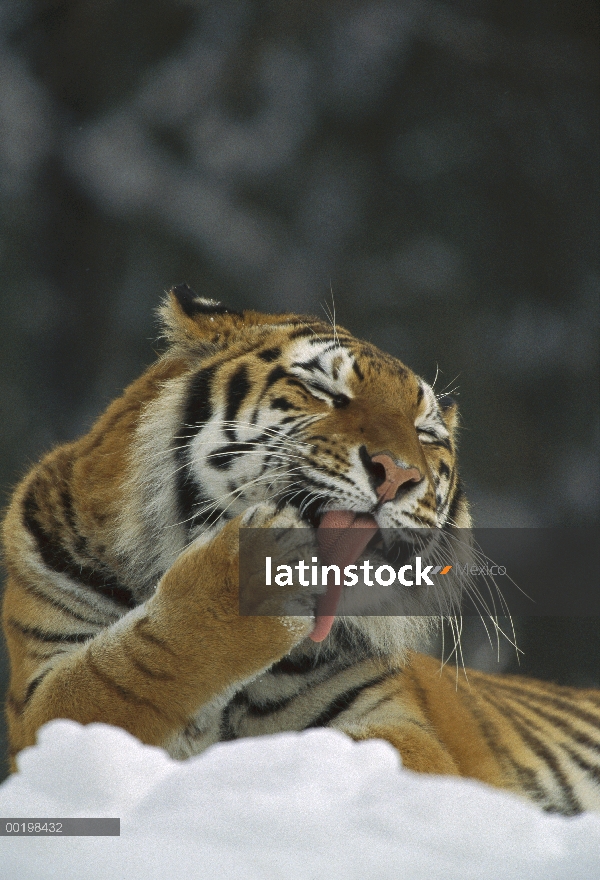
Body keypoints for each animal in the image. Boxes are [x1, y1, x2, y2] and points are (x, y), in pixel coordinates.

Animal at [1, 286, 600, 816]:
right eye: (326, 392)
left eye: (426, 434)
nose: (399, 473)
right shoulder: (42, 708)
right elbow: (124, 673)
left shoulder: (399, 728)